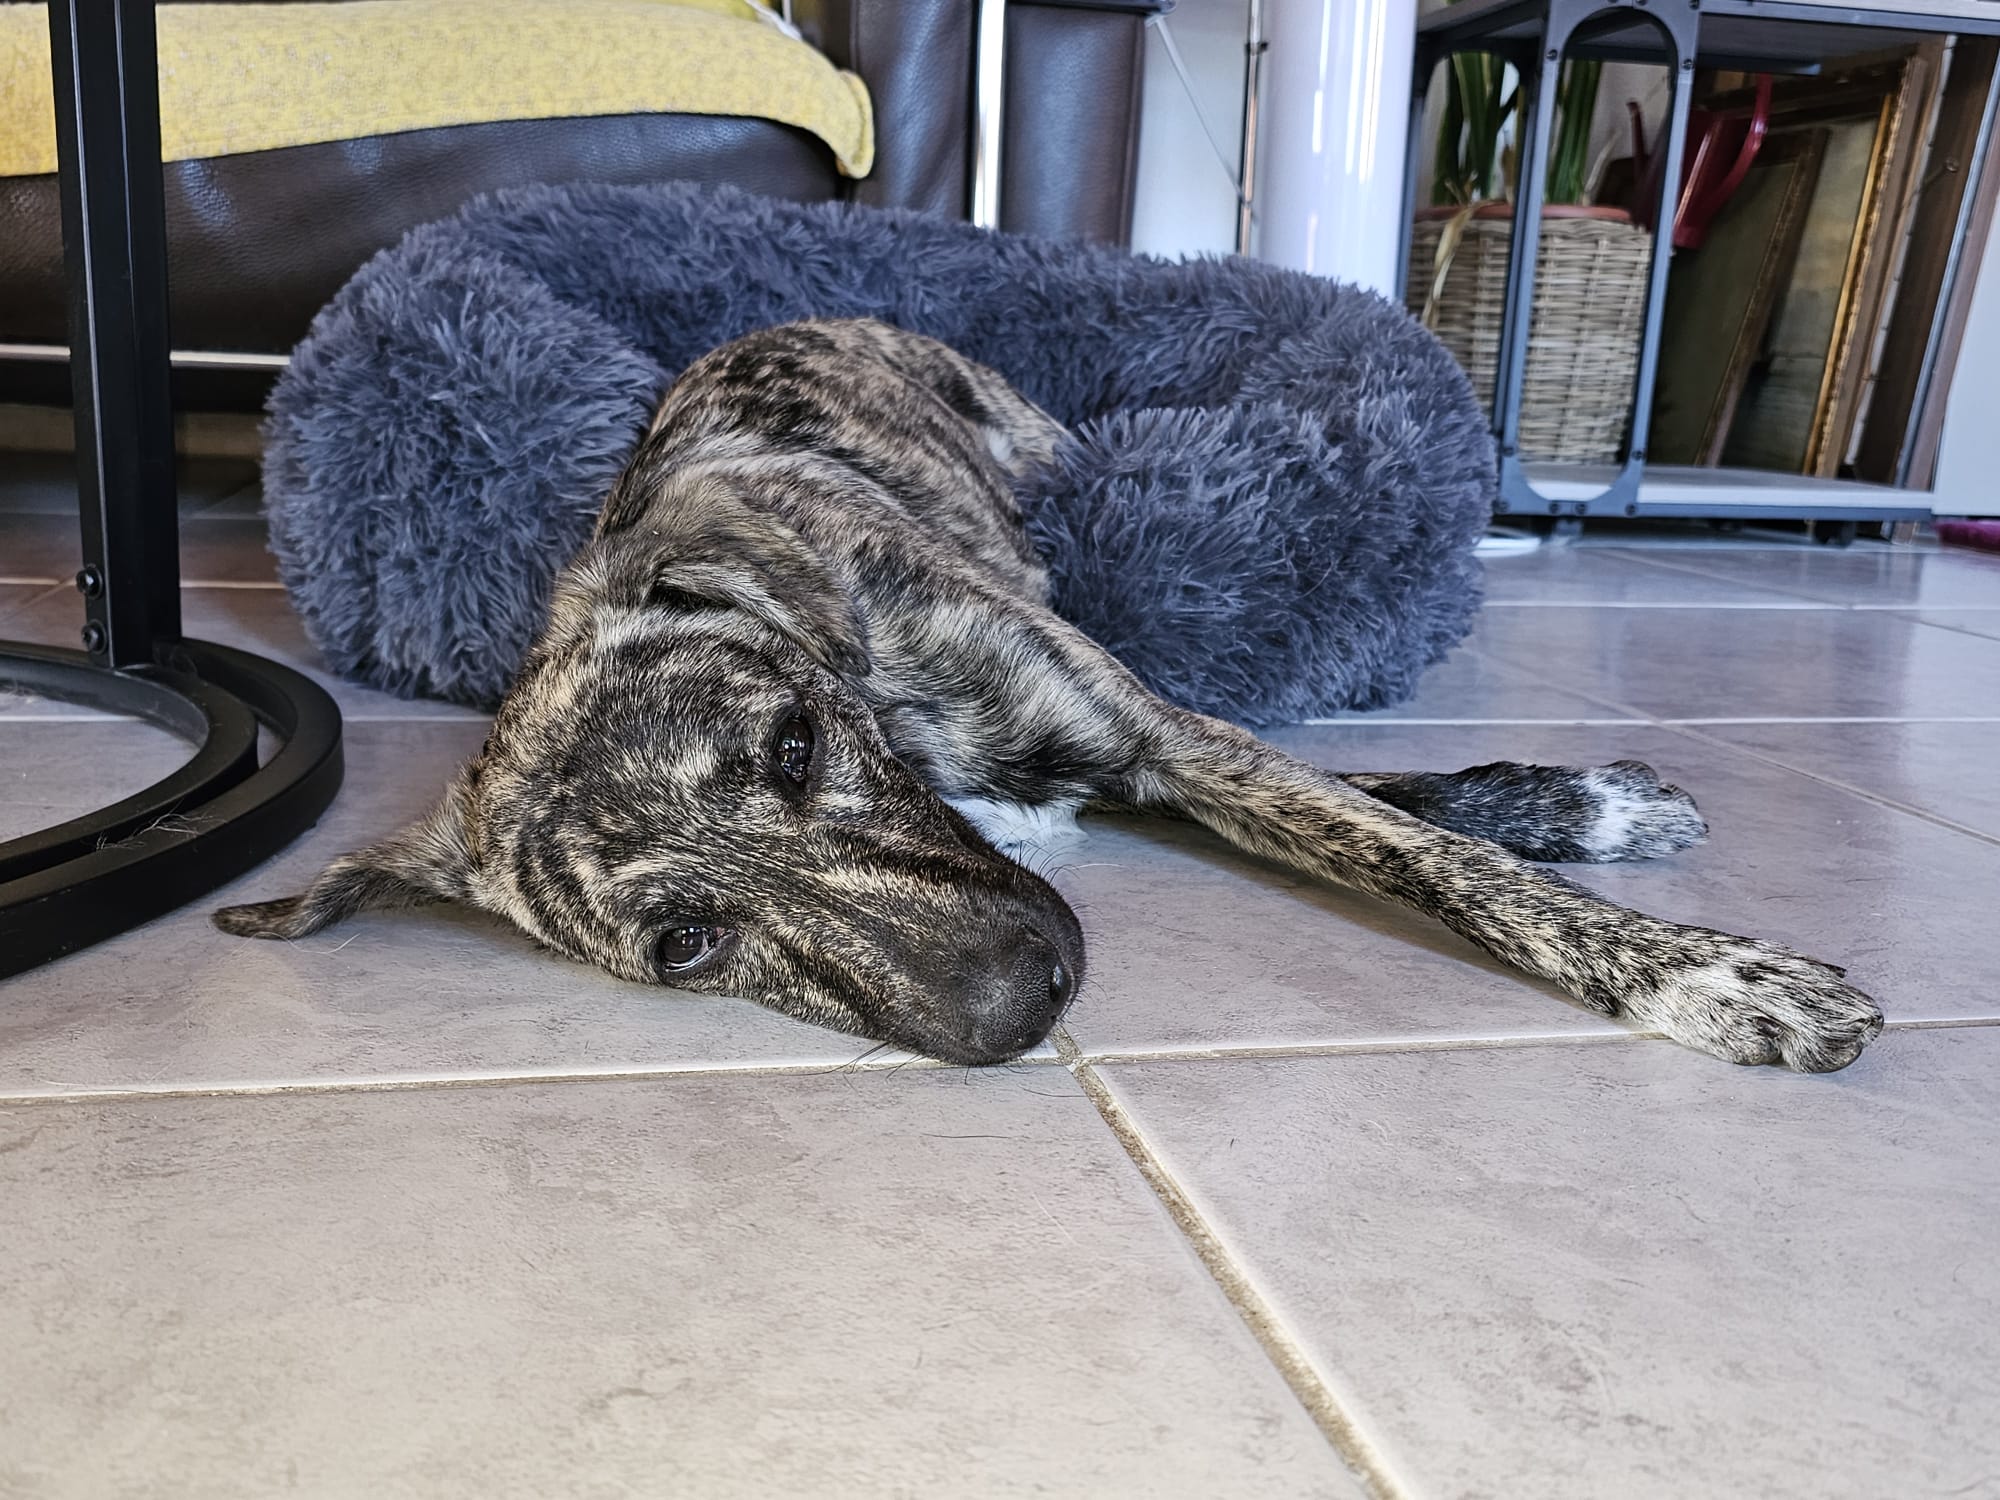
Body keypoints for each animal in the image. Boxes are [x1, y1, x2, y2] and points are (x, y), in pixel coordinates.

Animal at [215, 318, 1886, 1073]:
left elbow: (1426, 849)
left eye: (795, 745)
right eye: (688, 944)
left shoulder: (1166, 738)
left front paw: (1698, 965)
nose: (1026, 1006)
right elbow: (1394, 811)